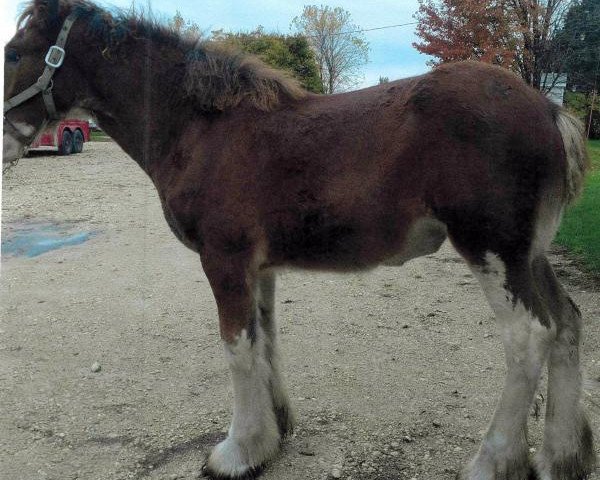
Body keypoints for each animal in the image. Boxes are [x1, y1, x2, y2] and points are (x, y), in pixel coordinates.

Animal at [3, 0, 596, 480]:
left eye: (14, 52)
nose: (4, 143)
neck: (202, 129)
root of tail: (549, 109)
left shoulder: (225, 261)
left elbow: (237, 348)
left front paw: (237, 452)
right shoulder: (258, 268)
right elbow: (265, 340)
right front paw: (275, 431)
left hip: (493, 251)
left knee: (530, 336)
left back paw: (493, 461)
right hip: (530, 255)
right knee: (567, 322)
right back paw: (562, 456)